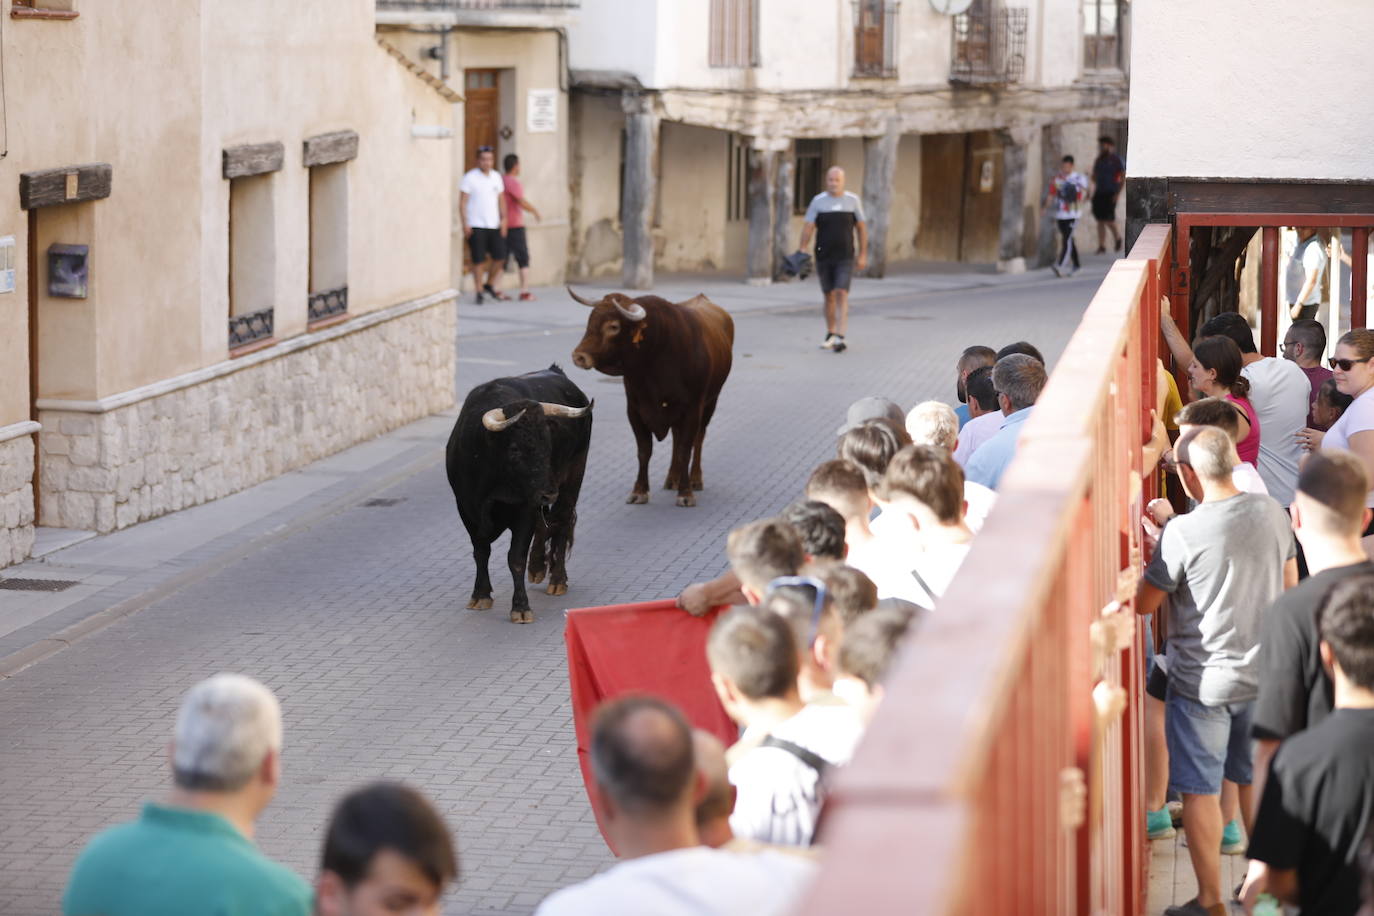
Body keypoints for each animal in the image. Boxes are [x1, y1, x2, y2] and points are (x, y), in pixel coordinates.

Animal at [442, 365, 588, 623]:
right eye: (515, 449)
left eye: (548, 445)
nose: (549, 493)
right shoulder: (466, 509)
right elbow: (481, 551)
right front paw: (480, 595)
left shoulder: (524, 511)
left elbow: (516, 558)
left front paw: (520, 607)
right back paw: (537, 568)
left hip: (573, 479)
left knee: (561, 522)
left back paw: (557, 580)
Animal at [566, 288, 736, 508]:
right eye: (591, 319)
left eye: (613, 326)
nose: (579, 356)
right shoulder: (635, 410)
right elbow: (644, 450)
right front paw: (639, 491)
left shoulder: (692, 409)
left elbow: (685, 449)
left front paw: (686, 493)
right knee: (676, 438)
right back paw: (672, 478)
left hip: (710, 402)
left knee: (698, 439)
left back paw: (695, 479)